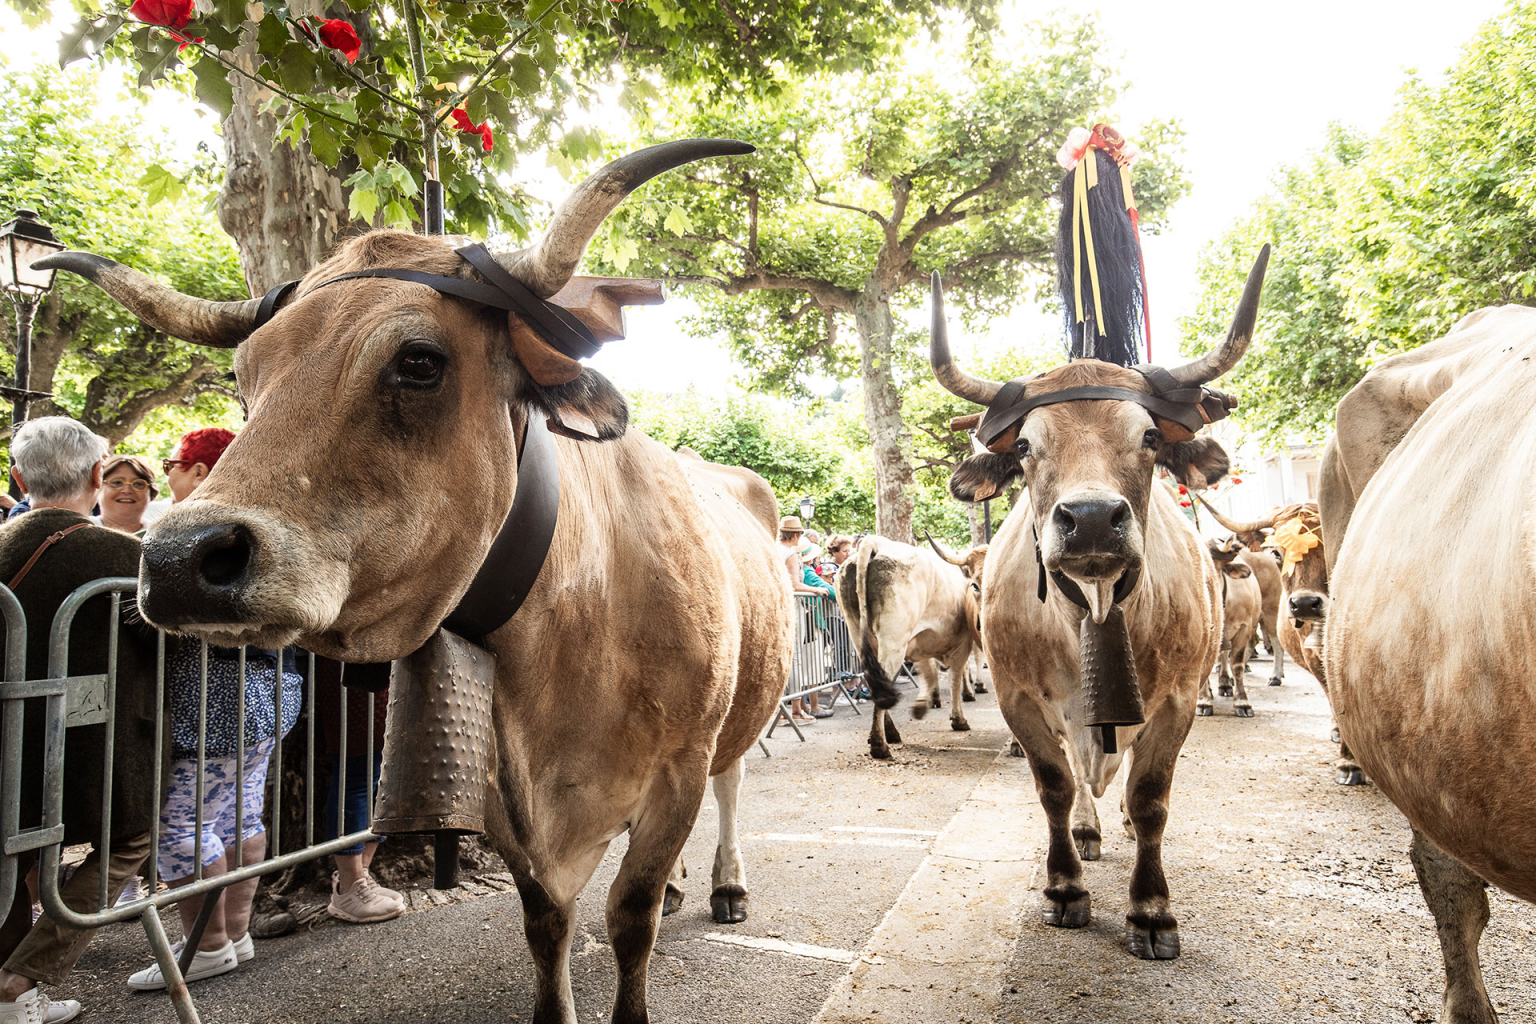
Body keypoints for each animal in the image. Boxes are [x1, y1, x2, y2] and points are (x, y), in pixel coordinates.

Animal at [43, 142, 798, 1024]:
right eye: (245, 377)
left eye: (419, 362)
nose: (176, 560)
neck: (578, 632)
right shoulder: (505, 796)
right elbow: (547, 919)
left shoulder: (678, 764)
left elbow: (630, 914)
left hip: (737, 717)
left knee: (732, 785)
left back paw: (725, 886)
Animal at [921, 248, 1271, 964]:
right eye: (1026, 446)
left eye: (1149, 438)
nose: (1088, 519)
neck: (1095, 611)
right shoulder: (1019, 697)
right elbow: (1055, 785)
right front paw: (1064, 887)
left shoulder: (1177, 700)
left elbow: (1151, 798)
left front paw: (1152, 910)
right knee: (1081, 776)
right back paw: (1086, 830)